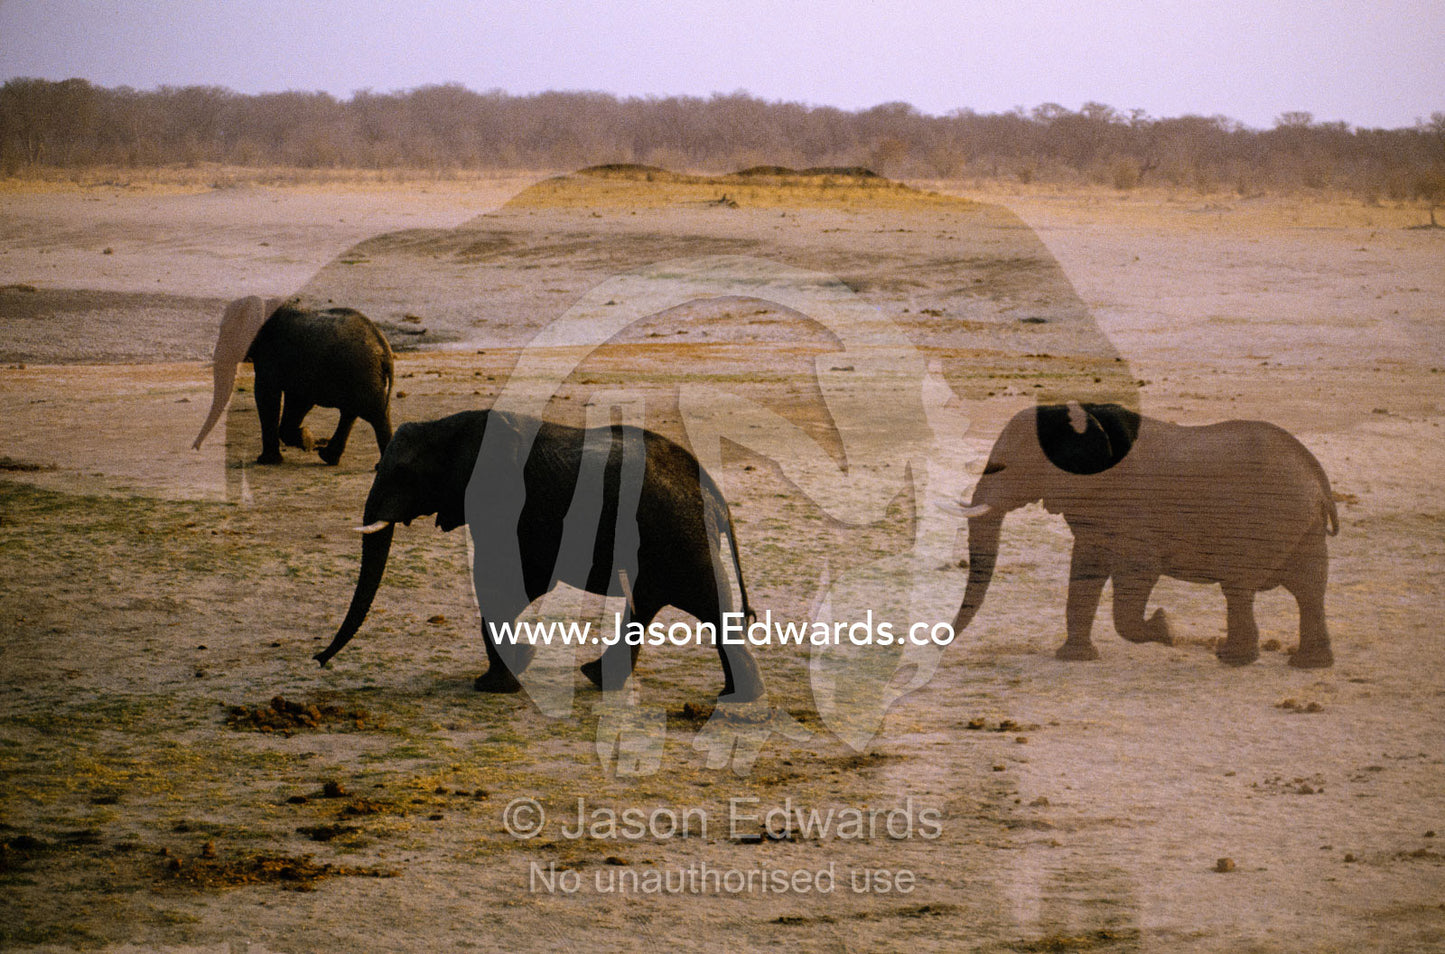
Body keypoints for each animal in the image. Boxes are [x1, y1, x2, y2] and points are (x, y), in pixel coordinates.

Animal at [192, 296, 394, 465]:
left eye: (227, 332)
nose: (195, 447)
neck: (262, 303)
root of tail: (385, 349)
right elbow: (296, 400)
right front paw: (307, 441)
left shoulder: (272, 354)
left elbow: (266, 395)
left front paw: (270, 460)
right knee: (352, 412)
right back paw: (328, 457)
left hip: (362, 373)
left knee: (374, 414)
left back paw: (377, 466)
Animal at [315, 409, 766, 702]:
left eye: (403, 474)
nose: (318, 659)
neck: (447, 427)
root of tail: (717, 498)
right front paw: (517, 664)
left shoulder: (501, 502)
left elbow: (501, 578)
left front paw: (495, 684)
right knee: (654, 605)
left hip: (680, 537)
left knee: (702, 606)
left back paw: (735, 700)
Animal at [943, 402, 1339, 667]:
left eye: (1003, 467)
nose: (941, 645)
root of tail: (1316, 472)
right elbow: (1085, 570)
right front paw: (1075, 658)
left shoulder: (1135, 510)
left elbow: (1138, 574)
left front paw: (1165, 629)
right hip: (1303, 525)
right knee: (1310, 588)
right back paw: (1308, 664)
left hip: (1270, 518)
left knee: (1241, 586)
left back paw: (1232, 659)